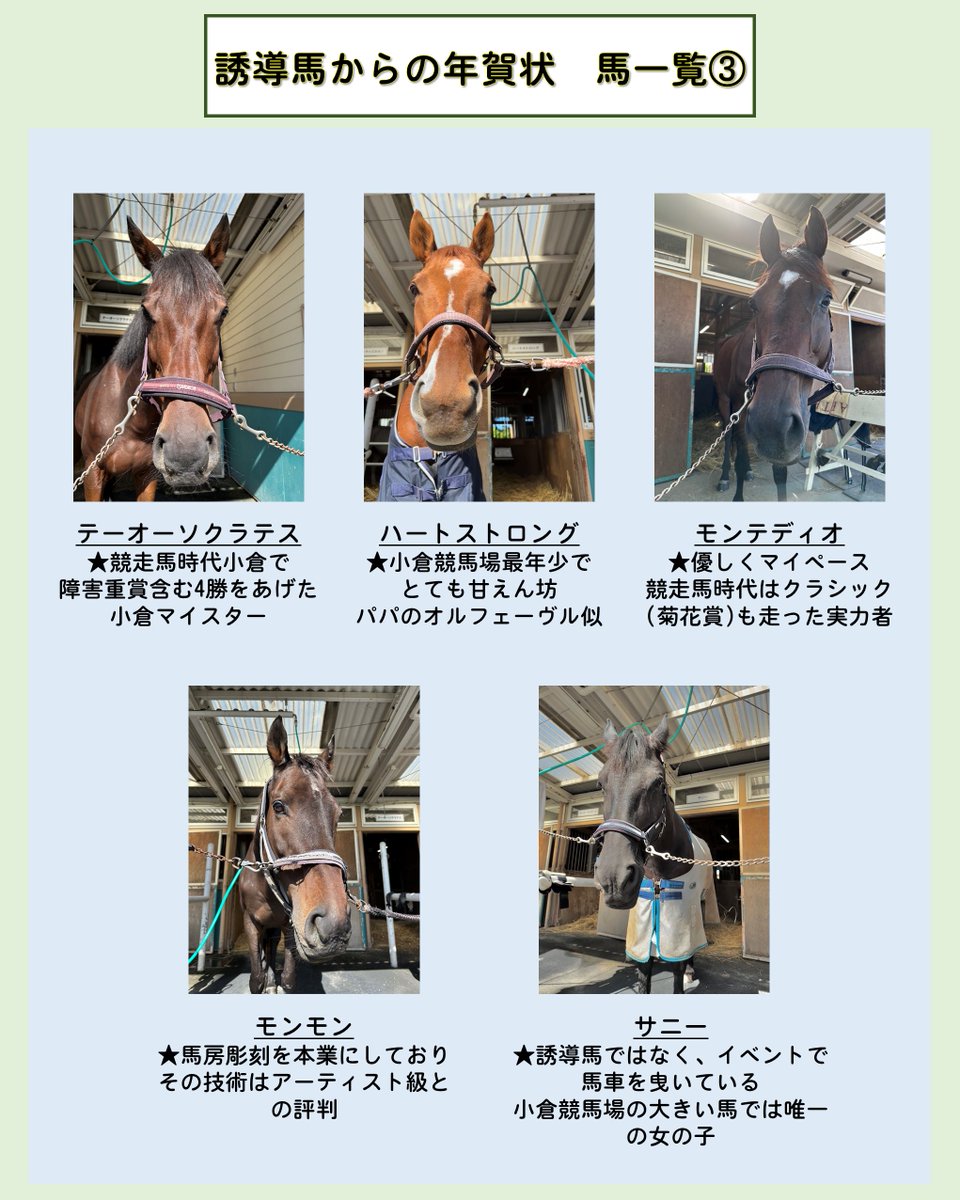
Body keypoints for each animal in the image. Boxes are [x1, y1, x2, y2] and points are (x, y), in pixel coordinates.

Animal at [237, 716, 352, 994]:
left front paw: (276, 983)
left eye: (339, 813)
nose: (332, 925)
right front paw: (264, 981)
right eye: (278, 806)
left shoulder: (290, 926)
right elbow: (255, 979)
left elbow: (288, 980)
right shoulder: (250, 923)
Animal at [593, 718, 715, 994]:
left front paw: (684, 974)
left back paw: (691, 969)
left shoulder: (679, 918)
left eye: (658, 782)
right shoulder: (643, 916)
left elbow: (678, 966)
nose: (614, 879)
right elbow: (644, 968)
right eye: (601, 783)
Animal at [714, 207, 838, 501]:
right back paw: (724, 476)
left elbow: (779, 474)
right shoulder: (742, 409)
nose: (770, 425)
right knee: (728, 437)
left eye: (826, 299)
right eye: (753, 304)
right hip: (726, 402)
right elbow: (740, 455)